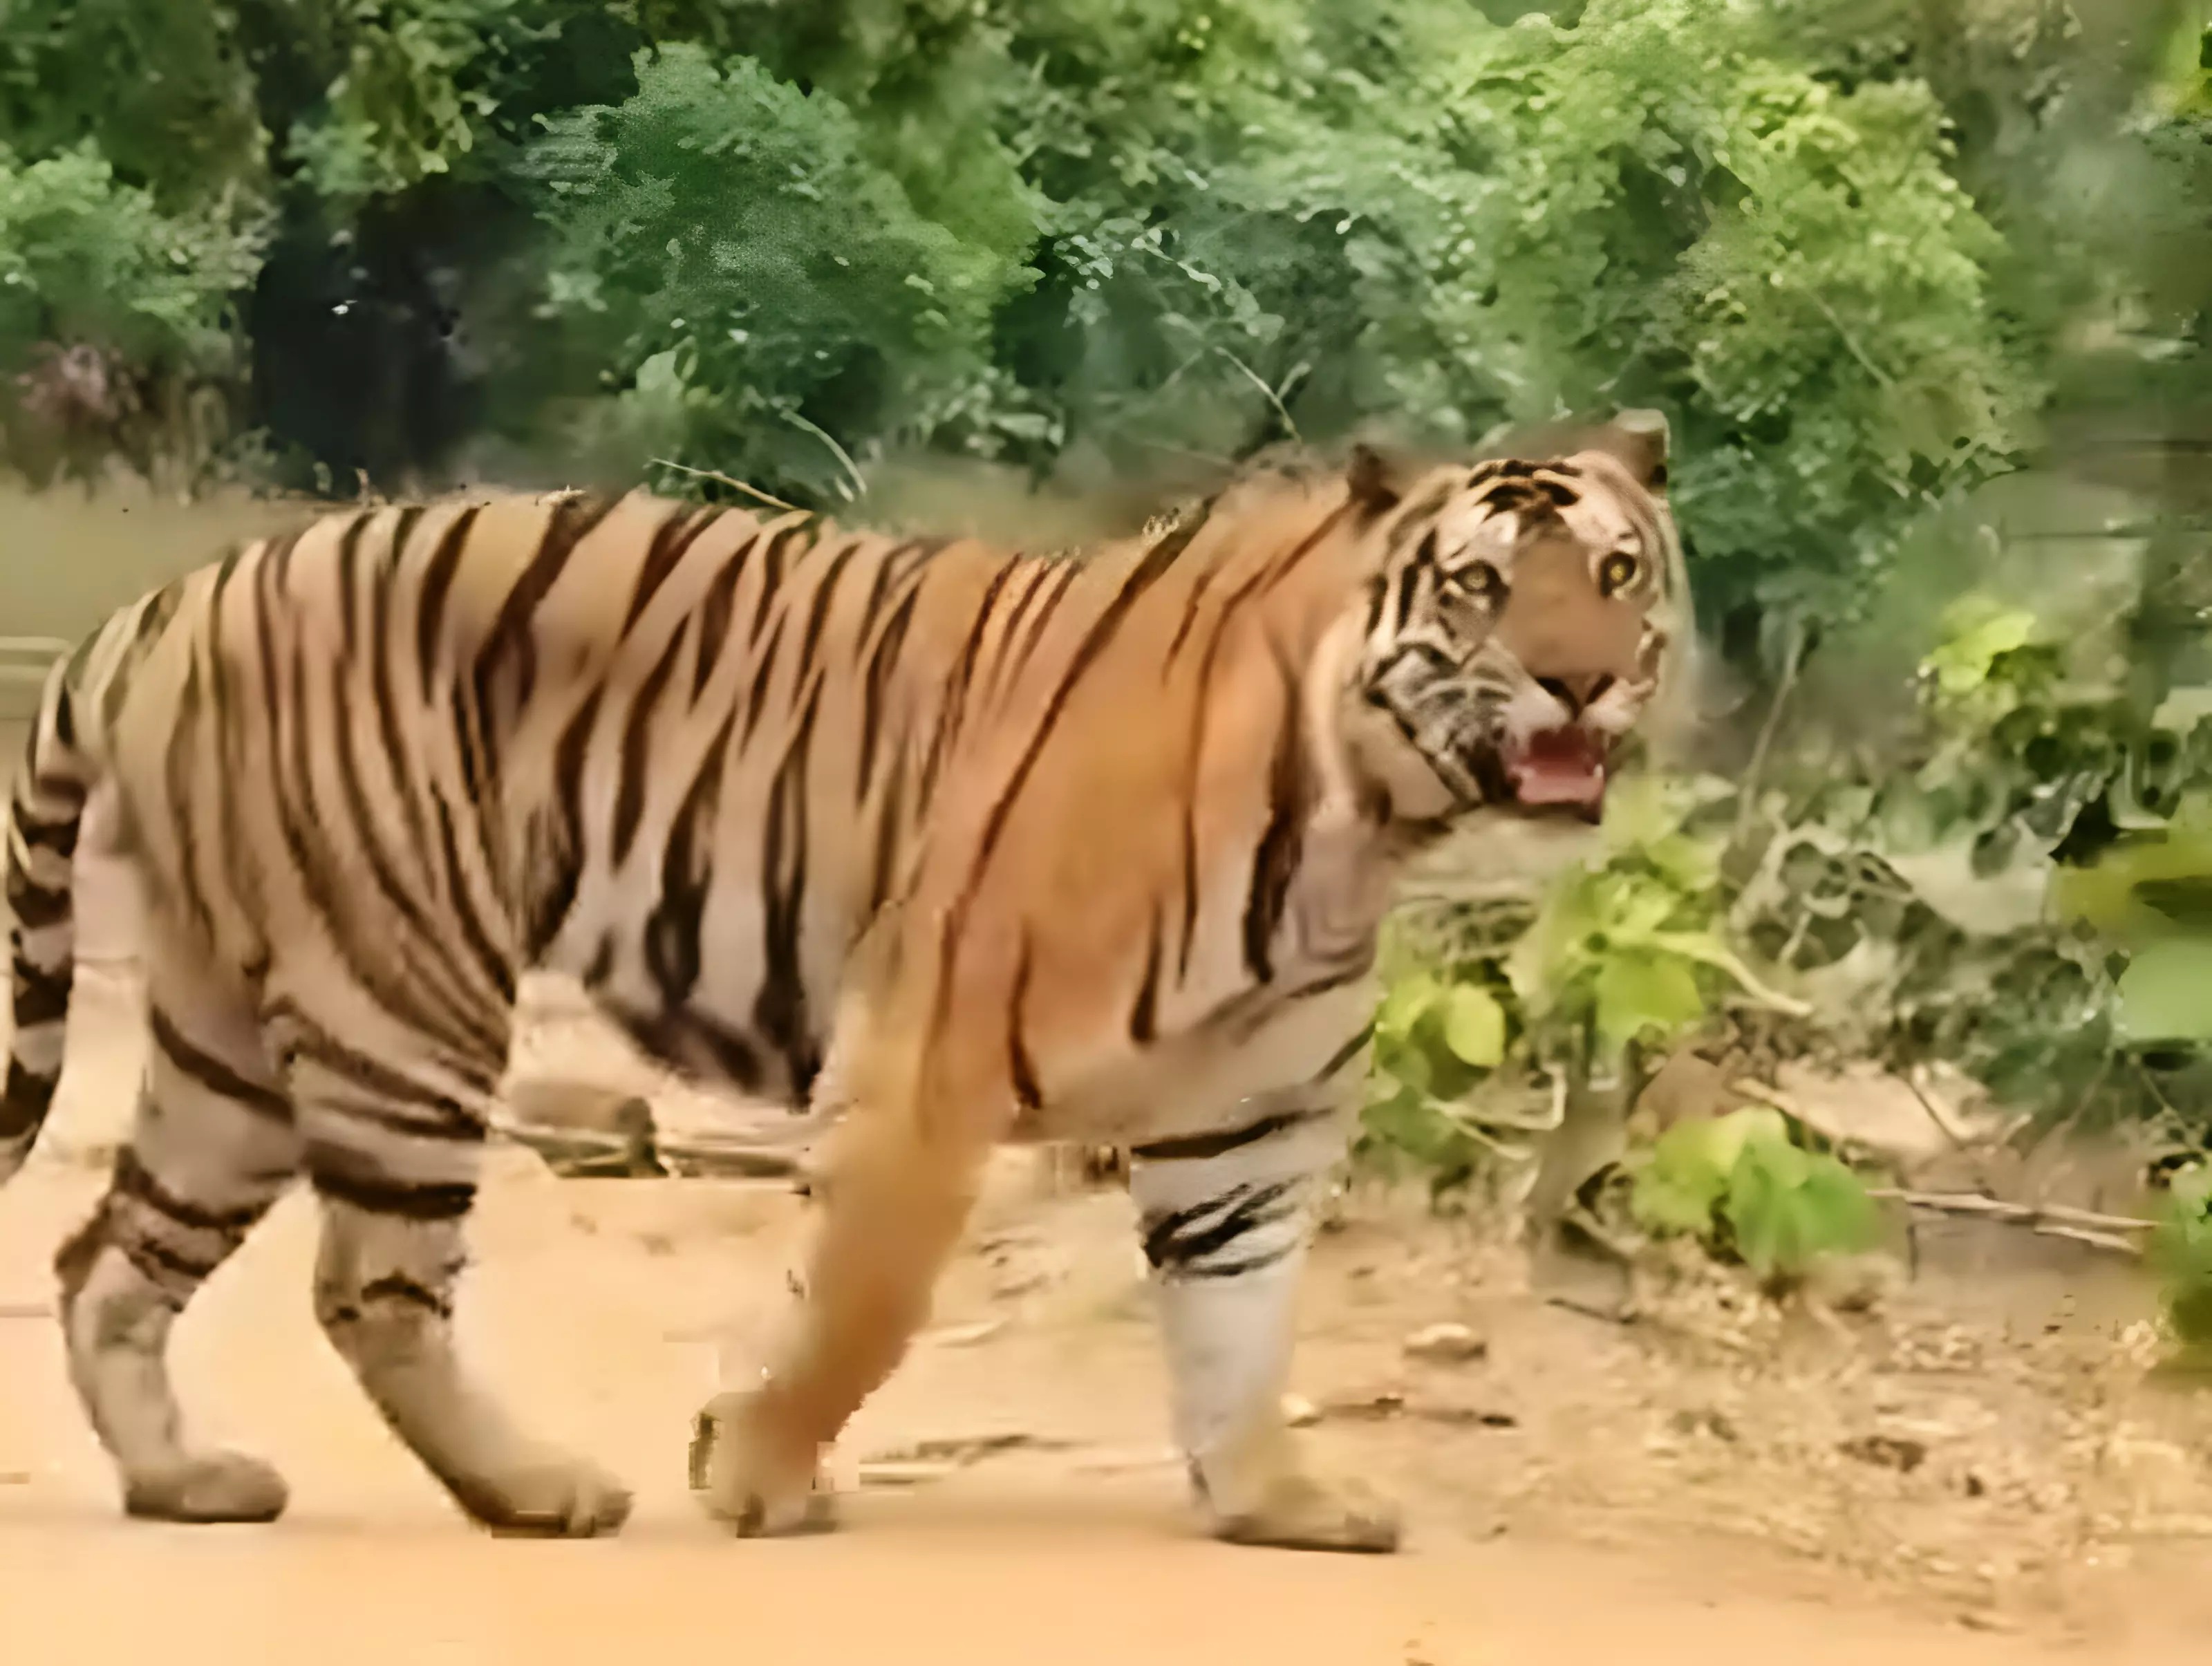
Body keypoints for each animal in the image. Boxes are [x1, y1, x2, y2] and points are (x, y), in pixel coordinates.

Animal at [1, 411, 1691, 1551]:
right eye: (1479, 589)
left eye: (1617, 572)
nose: (1583, 679)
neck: (1364, 816)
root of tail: (167, 599)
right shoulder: (932, 1052)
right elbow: (866, 1300)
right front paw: (751, 1473)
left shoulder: (1252, 1123)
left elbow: (1240, 1318)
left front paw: (1276, 1499)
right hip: (399, 990)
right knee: (370, 1282)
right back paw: (542, 1489)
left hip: (229, 1034)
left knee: (106, 1261)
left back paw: (187, 1481)